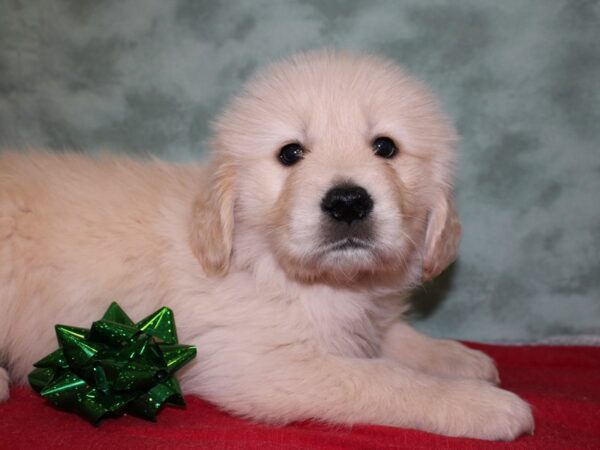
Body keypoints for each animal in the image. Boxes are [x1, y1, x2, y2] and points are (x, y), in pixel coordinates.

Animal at [0, 50, 536, 440]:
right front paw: (479, 404)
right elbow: (383, 378)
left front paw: (459, 359)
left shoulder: (361, 318)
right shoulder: (260, 363)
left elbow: (393, 338)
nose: (347, 202)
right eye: (290, 154)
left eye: (386, 147)